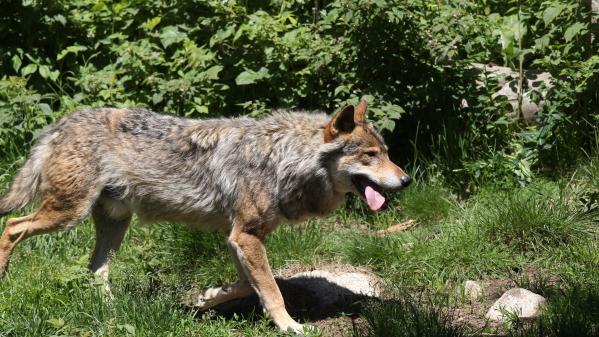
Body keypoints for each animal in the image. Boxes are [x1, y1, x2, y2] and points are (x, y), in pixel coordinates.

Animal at [0, 99, 412, 330]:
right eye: (370, 156)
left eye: (387, 153)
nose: (406, 180)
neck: (284, 160)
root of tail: (61, 123)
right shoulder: (245, 236)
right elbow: (274, 291)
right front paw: (290, 327)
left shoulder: (240, 238)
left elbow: (248, 285)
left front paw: (205, 299)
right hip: (68, 214)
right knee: (12, 225)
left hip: (114, 223)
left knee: (95, 271)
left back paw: (115, 312)